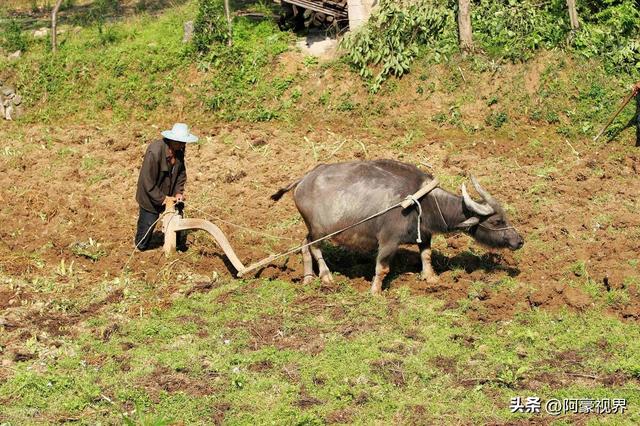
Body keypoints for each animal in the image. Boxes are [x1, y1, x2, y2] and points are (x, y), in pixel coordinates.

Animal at [272, 158, 524, 294]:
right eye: (497, 221)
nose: (519, 241)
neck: (423, 201)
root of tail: (304, 179)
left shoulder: (425, 234)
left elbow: (426, 255)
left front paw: (431, 278)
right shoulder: (389, 241)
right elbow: (382, 268)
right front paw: (375, 291)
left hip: (311, 229)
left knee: (304, 244)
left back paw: (308, 278)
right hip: (320, 231)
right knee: (315, 247)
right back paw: (326, 277)